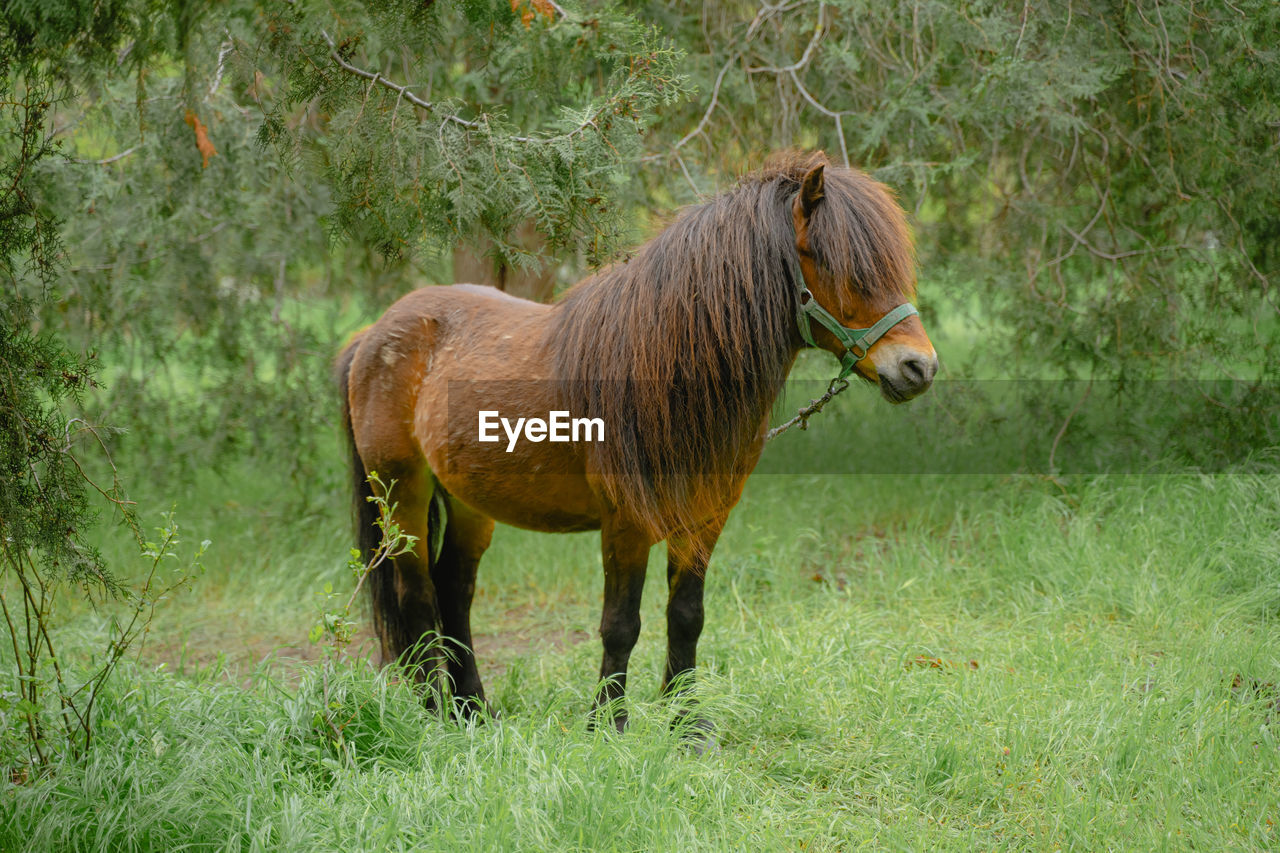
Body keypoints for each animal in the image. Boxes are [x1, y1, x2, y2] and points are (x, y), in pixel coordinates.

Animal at [337, 153, 942, 732]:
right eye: (842, 268)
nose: (920, 368)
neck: (664, 368)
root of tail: (372, 334)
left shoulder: (705, 516)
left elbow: (687, 616)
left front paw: (688, 723)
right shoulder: (626, 521)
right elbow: (621, 623)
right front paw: (609, 724)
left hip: (468, 501)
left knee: (454, 590)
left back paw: (473, 713)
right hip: (401, 491)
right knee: (417, 595)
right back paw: (432, 715)